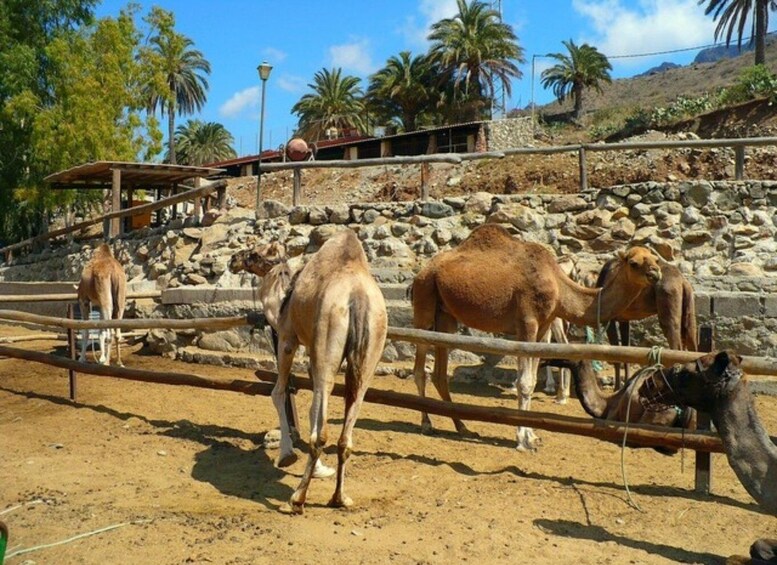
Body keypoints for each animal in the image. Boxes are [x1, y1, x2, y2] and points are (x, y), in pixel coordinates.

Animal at [229, 228, 388, 512]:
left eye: (255, 253)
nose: (233, 259)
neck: (283, 299)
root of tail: (358, 297)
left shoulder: (288, 338)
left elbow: (278, 392)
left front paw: (286, 455)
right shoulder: (314, 352)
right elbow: (314, 408)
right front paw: (320, 470)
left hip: (327, 335)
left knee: (321, 435)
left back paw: (297, 498)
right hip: (370, 352)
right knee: (346, 436)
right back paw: (340, 498)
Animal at [406, 224, 660, 450]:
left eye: (655, 259)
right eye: (634, 263)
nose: (655, 274)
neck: (559, 285)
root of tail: (421, 272)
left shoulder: (544, 326)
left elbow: (532, 376)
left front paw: (532, 435)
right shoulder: (527, 322)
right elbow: (525, 382)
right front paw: (522, 440)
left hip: (446, 316)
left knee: (440, 373)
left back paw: (462, 426)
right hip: (424, 300)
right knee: (420, 369)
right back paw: (427, 424)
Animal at [596, 256, 696, 386]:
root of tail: (683, 281)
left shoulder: (608, 319)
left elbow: (615, 356)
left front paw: (617, 387)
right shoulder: (624, 319)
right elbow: (625, 352)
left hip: (668, 301)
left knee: (676, 346)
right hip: (689, 309)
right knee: (692, 343)